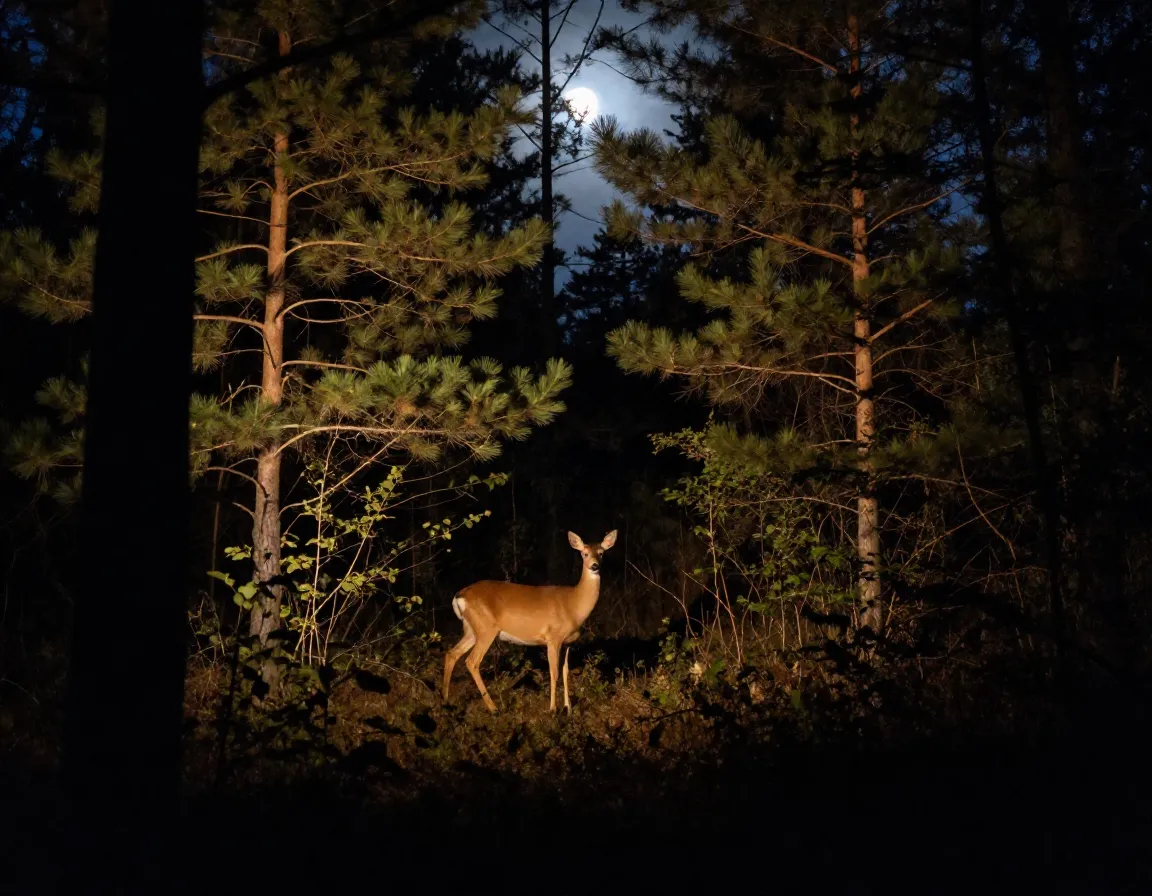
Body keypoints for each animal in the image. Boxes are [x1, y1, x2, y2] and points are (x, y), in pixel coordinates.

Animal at [442, 529, 617, 713]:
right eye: (584, 553)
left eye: (601, 553)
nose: (595, 566)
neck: (573, 605)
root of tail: (460, 596)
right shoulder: (553, 638)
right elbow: (554, 672)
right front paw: (552, 709)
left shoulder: (568, 642)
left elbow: (565, 671)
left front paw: (568, 709)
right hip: (485, 629)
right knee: (472, 661)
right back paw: (493, 708)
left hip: (471, 629)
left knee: (452, 654)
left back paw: (446, 701)